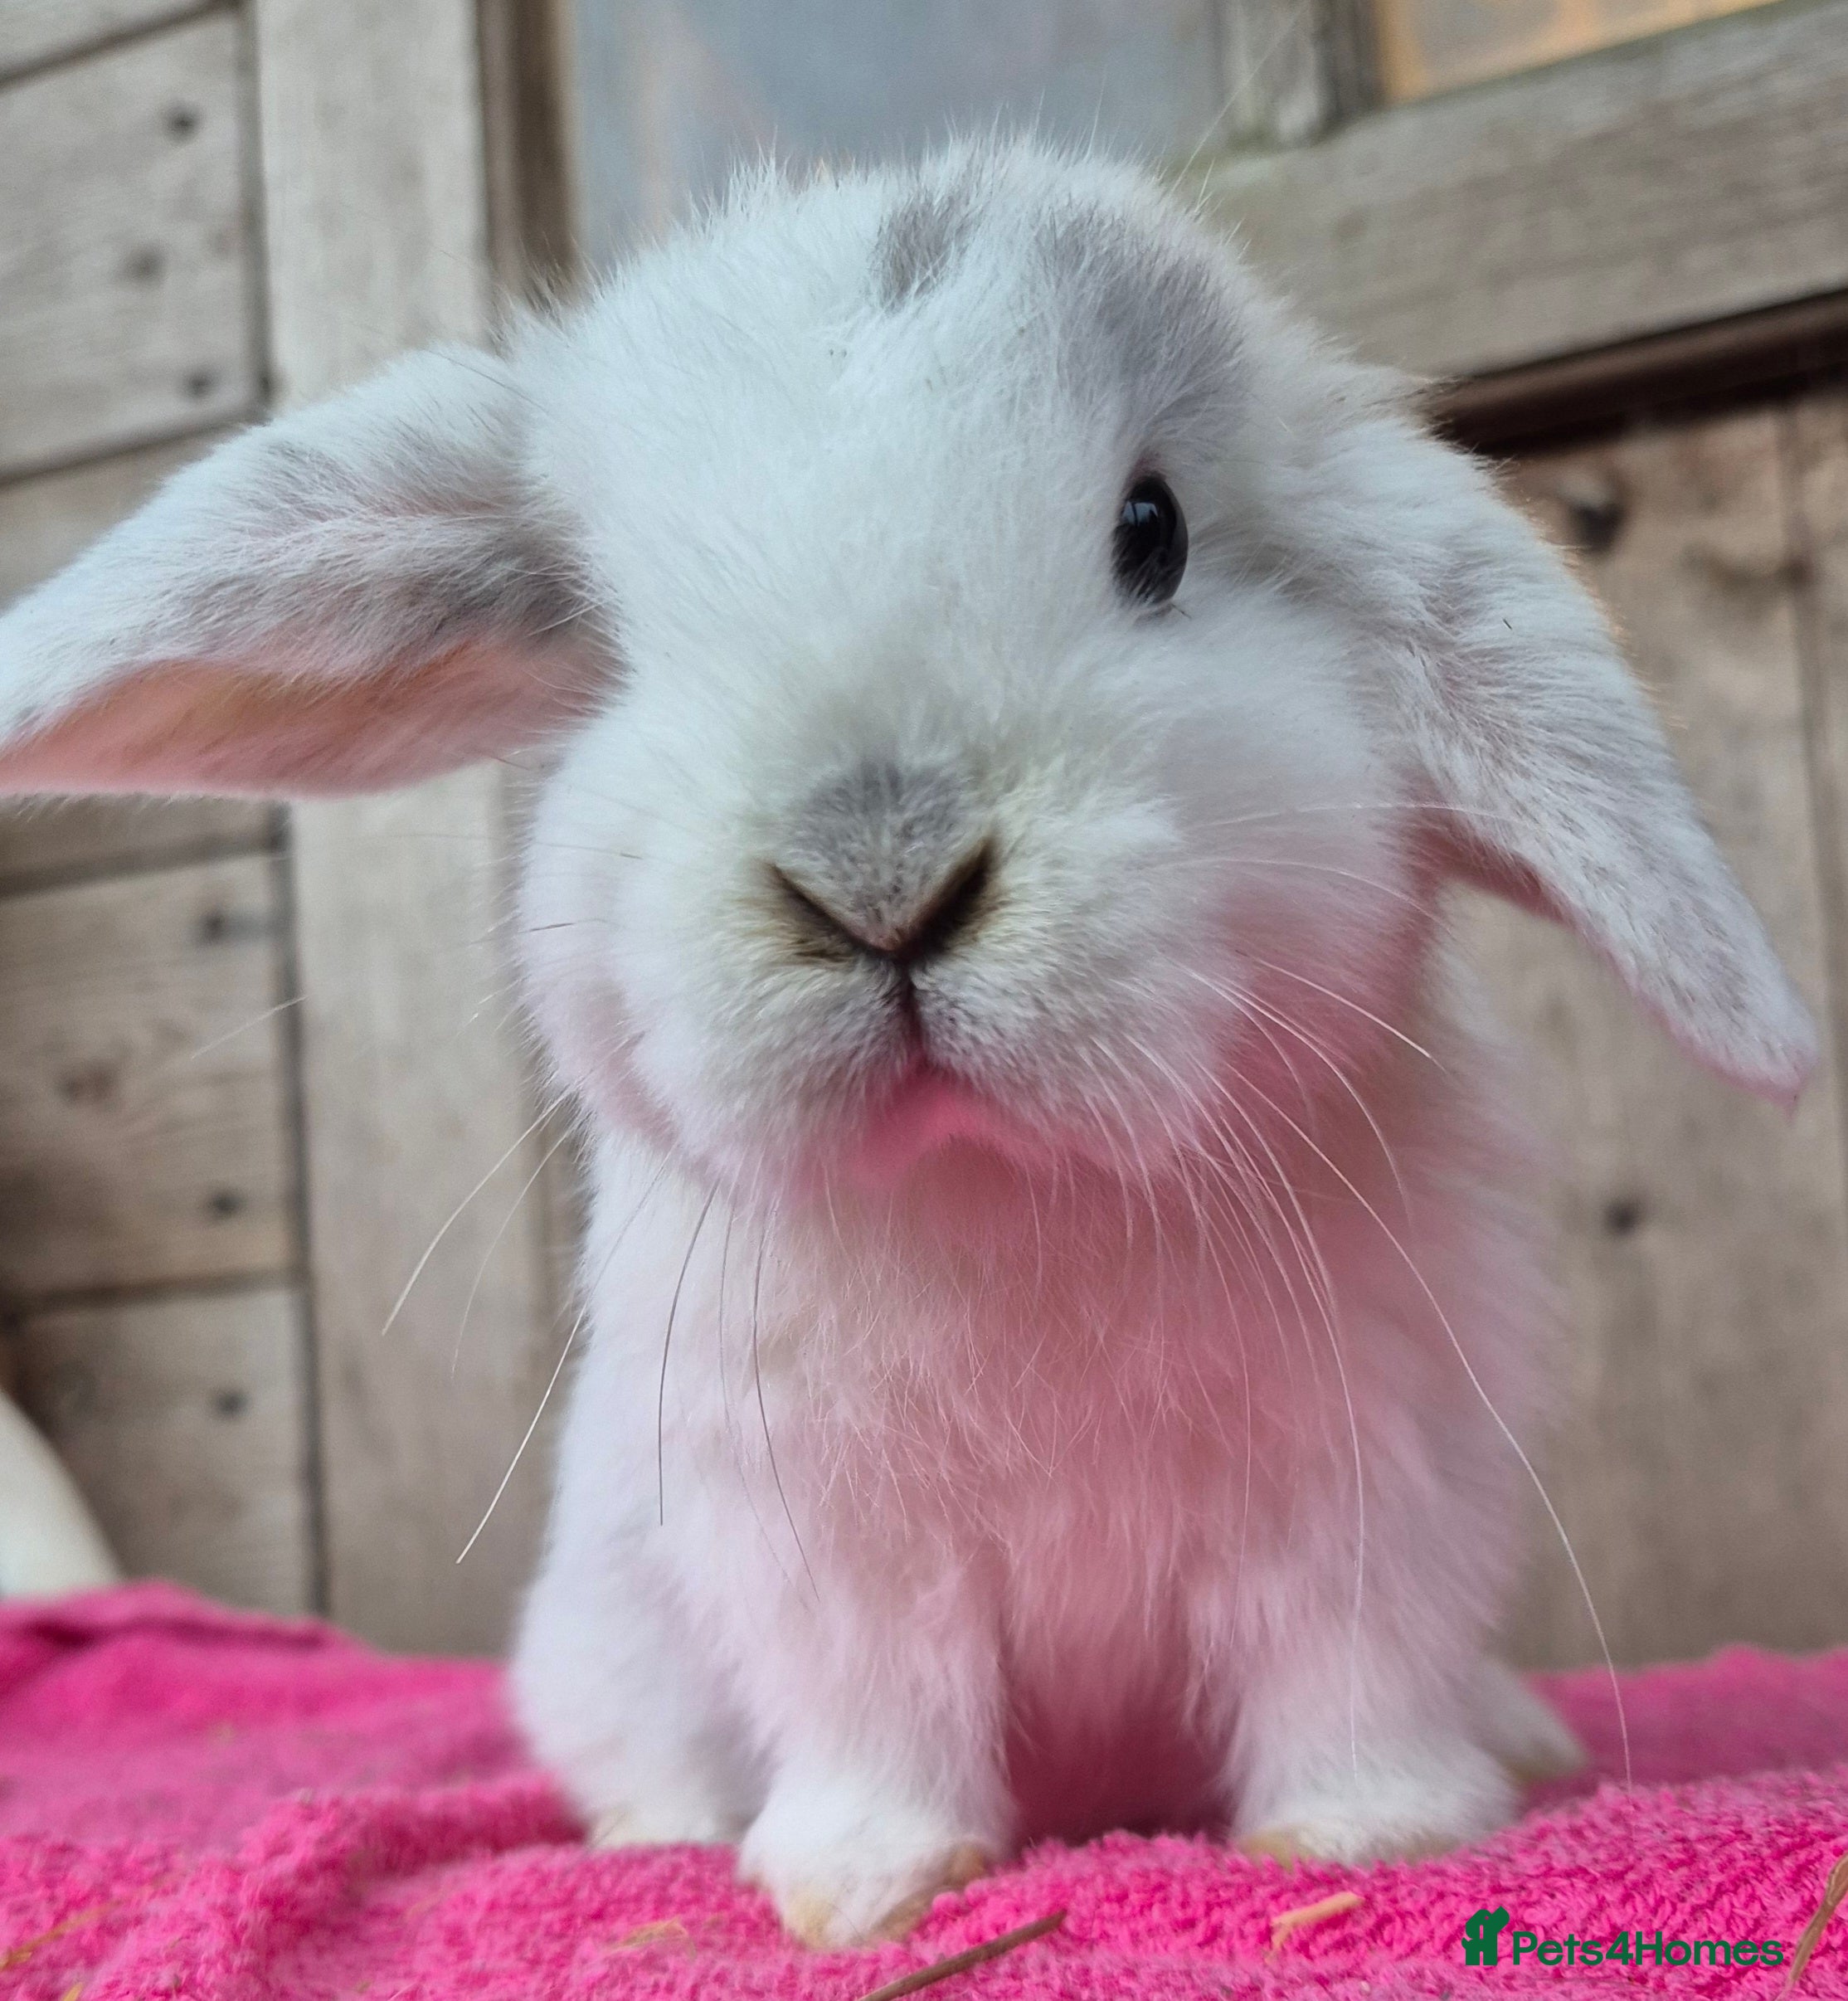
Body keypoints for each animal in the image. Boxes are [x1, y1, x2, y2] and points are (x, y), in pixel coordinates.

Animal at [0, 139, 1814, 1946]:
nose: (878, 875)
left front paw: (1368, 1842)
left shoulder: (1367, 1490)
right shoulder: (825, 1545)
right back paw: (661, 1835)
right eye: (610, 636)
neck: (1002, 1183)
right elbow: (882, 1710)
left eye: (1150, 531)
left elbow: (1338, 1675)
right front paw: (859, 1890)